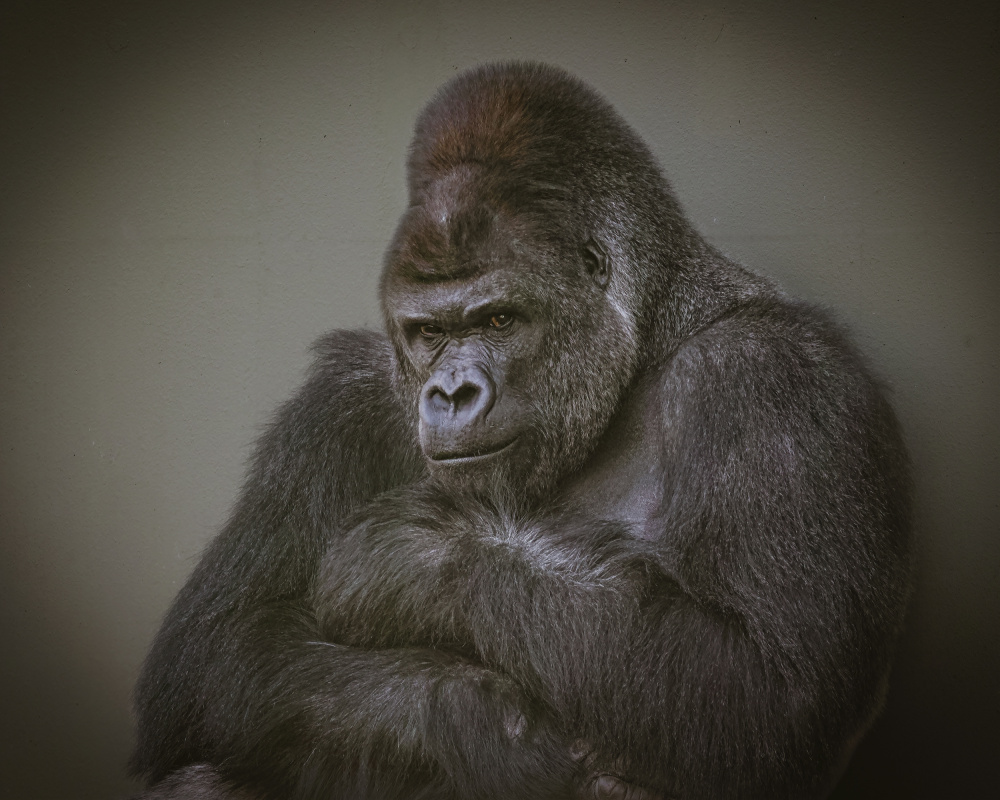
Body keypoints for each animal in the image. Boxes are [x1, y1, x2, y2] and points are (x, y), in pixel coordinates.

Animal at [129, 64, 912, 800]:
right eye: (430, 332)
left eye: (499, 319)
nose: (451, 392)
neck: (654, 334)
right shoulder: (339, 400)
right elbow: (215, 655)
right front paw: (489, 729)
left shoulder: (771, 373)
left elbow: (767, 692)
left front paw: (416, 558)